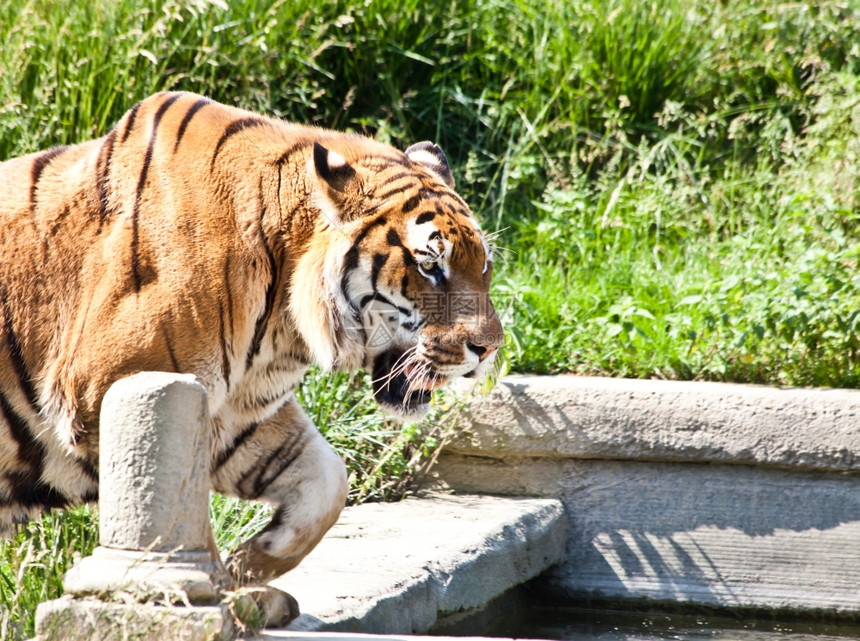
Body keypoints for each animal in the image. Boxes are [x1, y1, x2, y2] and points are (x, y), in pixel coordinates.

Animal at [0, 92, 504, 612]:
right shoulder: (110, 389)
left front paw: (250, 569)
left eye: (484, 264)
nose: (489, 348)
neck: (281, 324)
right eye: (430, 266)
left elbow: (328, 483)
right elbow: (179, 508)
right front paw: (211, 593)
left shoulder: (239, 417)